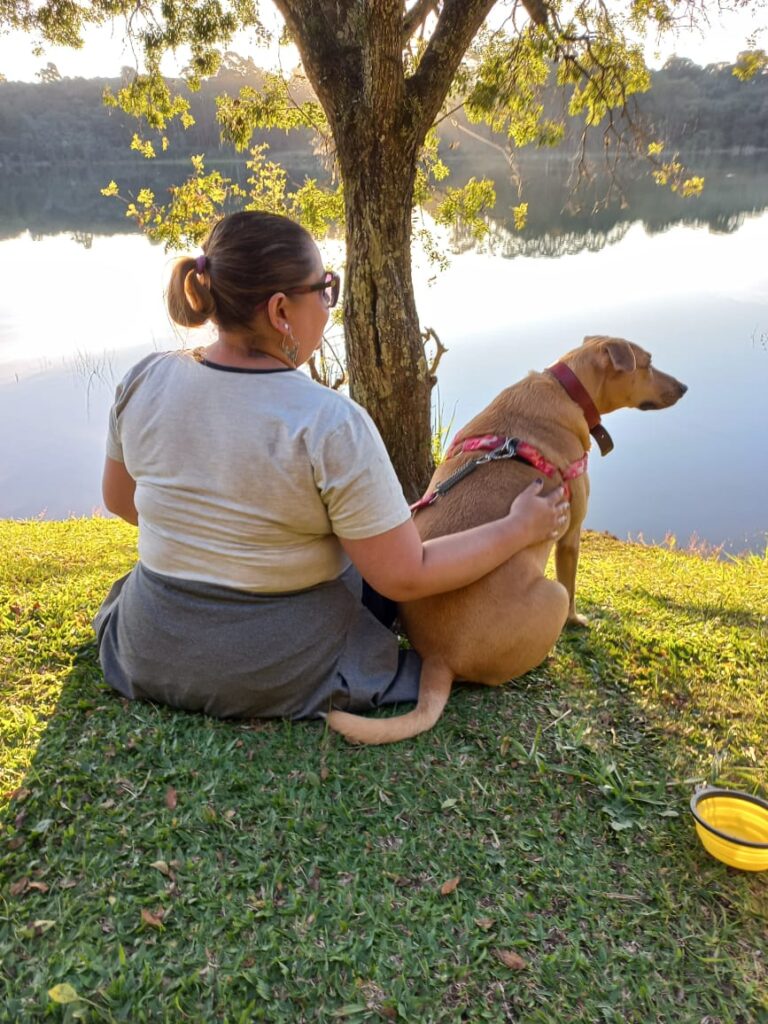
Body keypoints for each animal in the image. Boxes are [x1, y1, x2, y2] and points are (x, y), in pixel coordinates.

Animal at [327, 335, 688, 745]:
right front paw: (577, 621)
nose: (684, 387)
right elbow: (572, 586)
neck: (567, 389)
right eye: (648, 363)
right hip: (550, 595)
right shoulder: (570, 536)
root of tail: (438, 660)